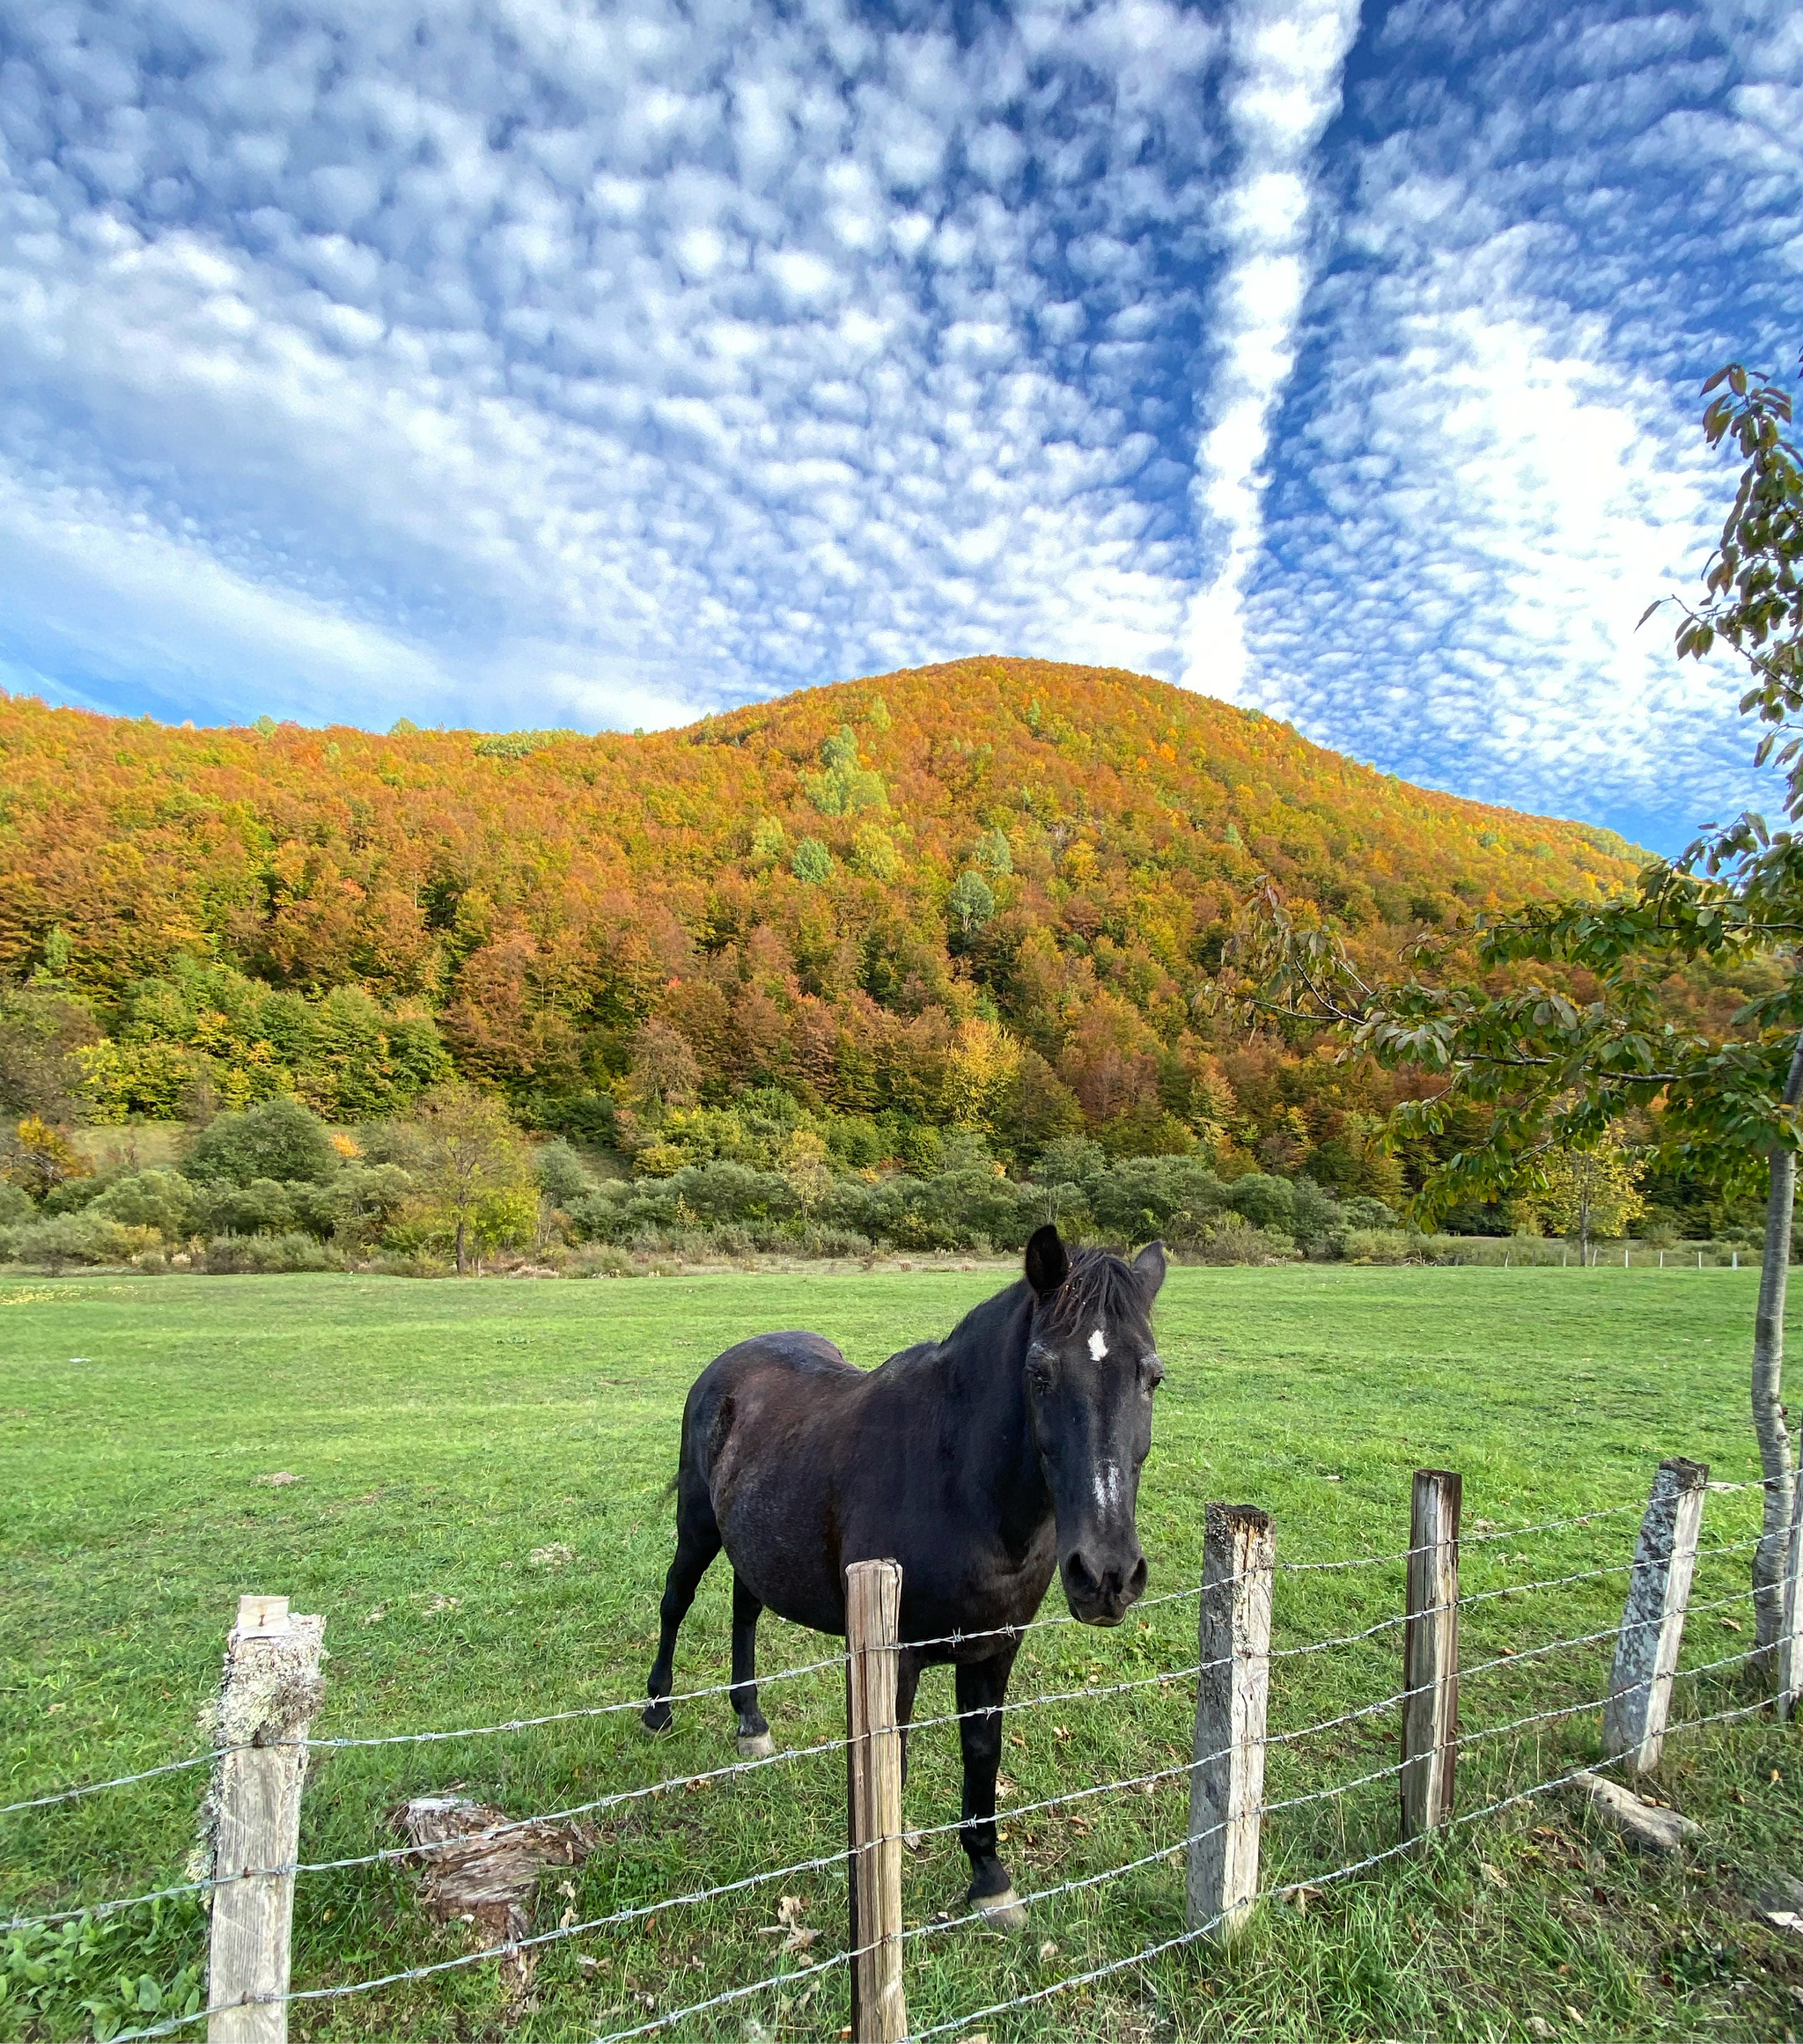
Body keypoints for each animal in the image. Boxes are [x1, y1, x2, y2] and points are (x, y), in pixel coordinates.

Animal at [645, 1217, 1169, 1921]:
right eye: (1039, 1373)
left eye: (1152, 1377)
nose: (1107, 1575)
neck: (956, 1483)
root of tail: (729, 1362)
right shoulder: (891, 1658)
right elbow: (886, 1765)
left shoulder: (993, 1650)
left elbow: (981, 1753)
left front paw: (990, 1879)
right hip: (698, 1527)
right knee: (675, 1601)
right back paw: (657, 1708)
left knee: (745, 1609)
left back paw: (751, 1723)